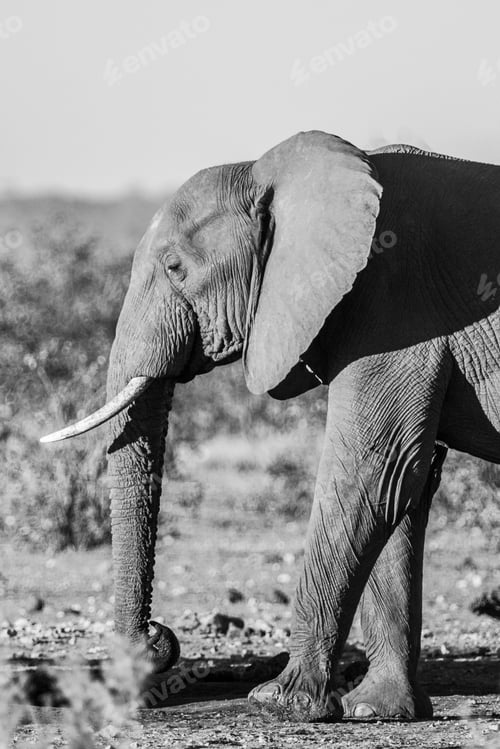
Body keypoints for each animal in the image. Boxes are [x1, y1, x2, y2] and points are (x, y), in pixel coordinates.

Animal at [41, 130, 500, 722]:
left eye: (175, 267)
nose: (157, 640)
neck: (274, 173)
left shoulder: (396, 305)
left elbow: (371, 472)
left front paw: (278, 702)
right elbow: (405, 483)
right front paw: (376, 710)